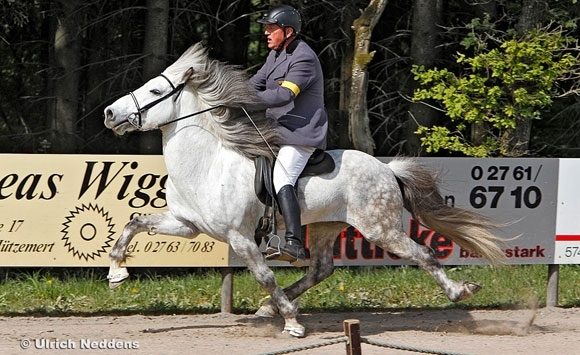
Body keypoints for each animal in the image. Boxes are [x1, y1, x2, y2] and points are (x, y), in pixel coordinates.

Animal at [104, 43, 508, 338]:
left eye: (156, 90)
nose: (110, 113)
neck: (206, 164)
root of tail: (386, 168)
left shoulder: (240, 237)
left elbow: (264, 276)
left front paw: (293, 322)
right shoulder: (186, 224)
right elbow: (135, 222)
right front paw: (116, 273)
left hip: (381, 229)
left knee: (423, 254)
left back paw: (459, 291)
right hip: (328, 226)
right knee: (322, 269)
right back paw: (271, 306)